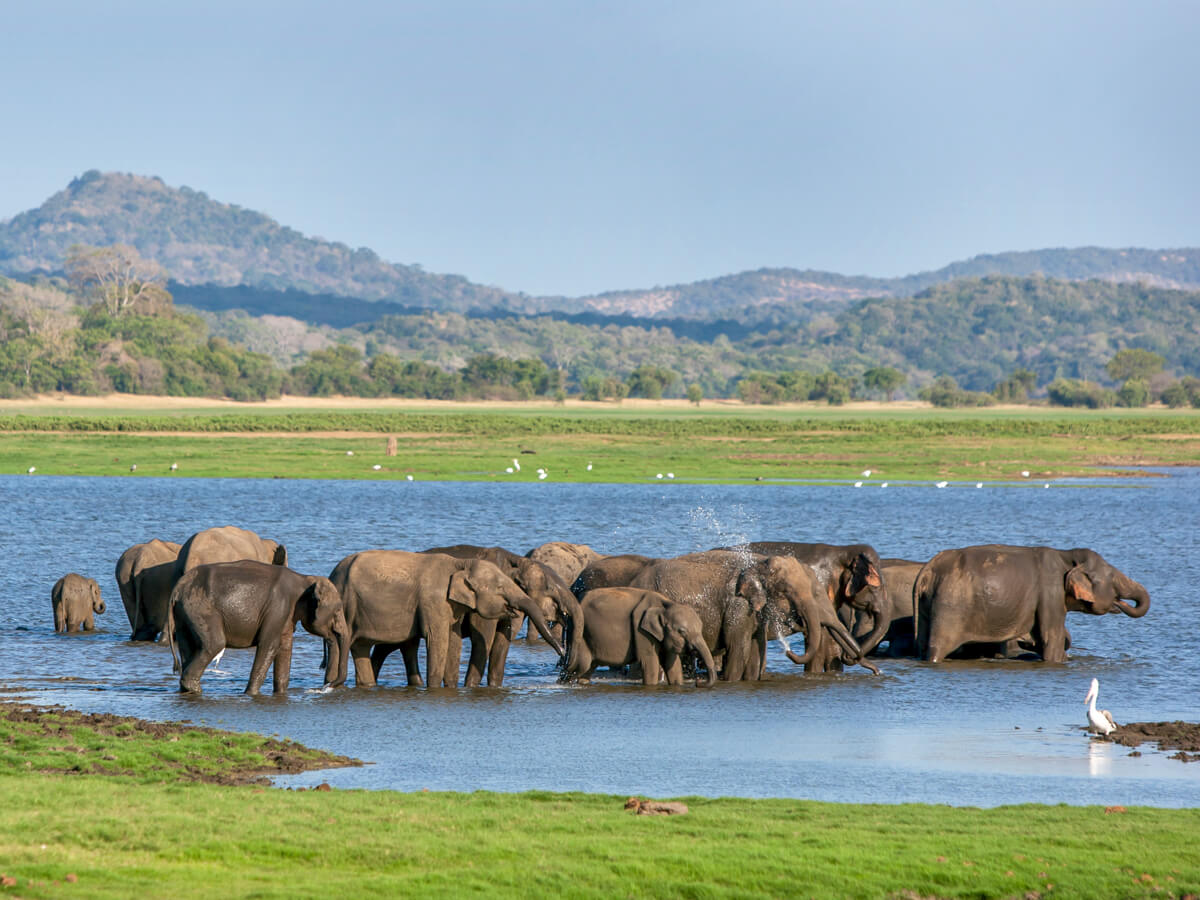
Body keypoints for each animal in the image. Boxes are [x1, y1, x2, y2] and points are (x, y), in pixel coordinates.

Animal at [167, 560, 349, 695]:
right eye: (338, 610)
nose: (326, 687)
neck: (305, 579)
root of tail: (177, 589)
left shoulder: (286, 615)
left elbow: (285, 649)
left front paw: (280, 693)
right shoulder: (278, 608)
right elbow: (270, 645)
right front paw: (250, 695)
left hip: (184, 615)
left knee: (188, 646)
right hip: (200, 609)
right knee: (215, 644)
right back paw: (196, 689)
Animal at [328, 550, 564, 688]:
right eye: (499, 588)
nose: (562, 655)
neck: (461, 564)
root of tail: (333, 572)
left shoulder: (451, 605)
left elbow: (454, 641)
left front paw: (450, 686)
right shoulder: (434, 601)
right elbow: (438, 639)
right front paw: (434, 689)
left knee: (363, 646)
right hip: (343, 604)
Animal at [569, 587, 716, 686]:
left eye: (701, 627)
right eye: (682, 631)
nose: (698, 681)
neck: (664, 605)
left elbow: (672, 663)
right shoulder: (641, 631)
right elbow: (650, 662)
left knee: (588, 667)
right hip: (582, 634)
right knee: (581, 665)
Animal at [629, 551, 874, 681]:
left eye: (816, 593)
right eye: (787, 593)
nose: (789, 653)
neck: (759, 562)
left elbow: (755, 650)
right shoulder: (739, 606)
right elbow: (738, 647)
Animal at [914, 545, 1150, 663]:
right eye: (1112, 578)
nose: (1120, 603)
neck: (1066, 555)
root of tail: (927, 569)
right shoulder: (1050, 593)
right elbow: (1050, 637)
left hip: (928, 605)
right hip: (950, 605)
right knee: (938, 646)